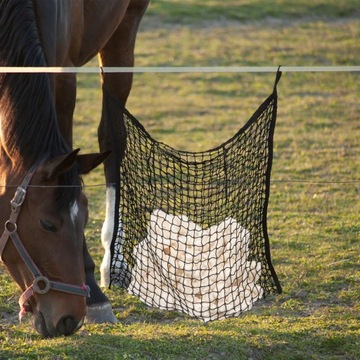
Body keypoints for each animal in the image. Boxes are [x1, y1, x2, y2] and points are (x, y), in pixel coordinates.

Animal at [0, 0, 148, 338]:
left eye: (83, 220)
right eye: (47, 224)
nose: (70, 318)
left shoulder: (61, 75)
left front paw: (94, 295)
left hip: (125, 27)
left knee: (112, 133)